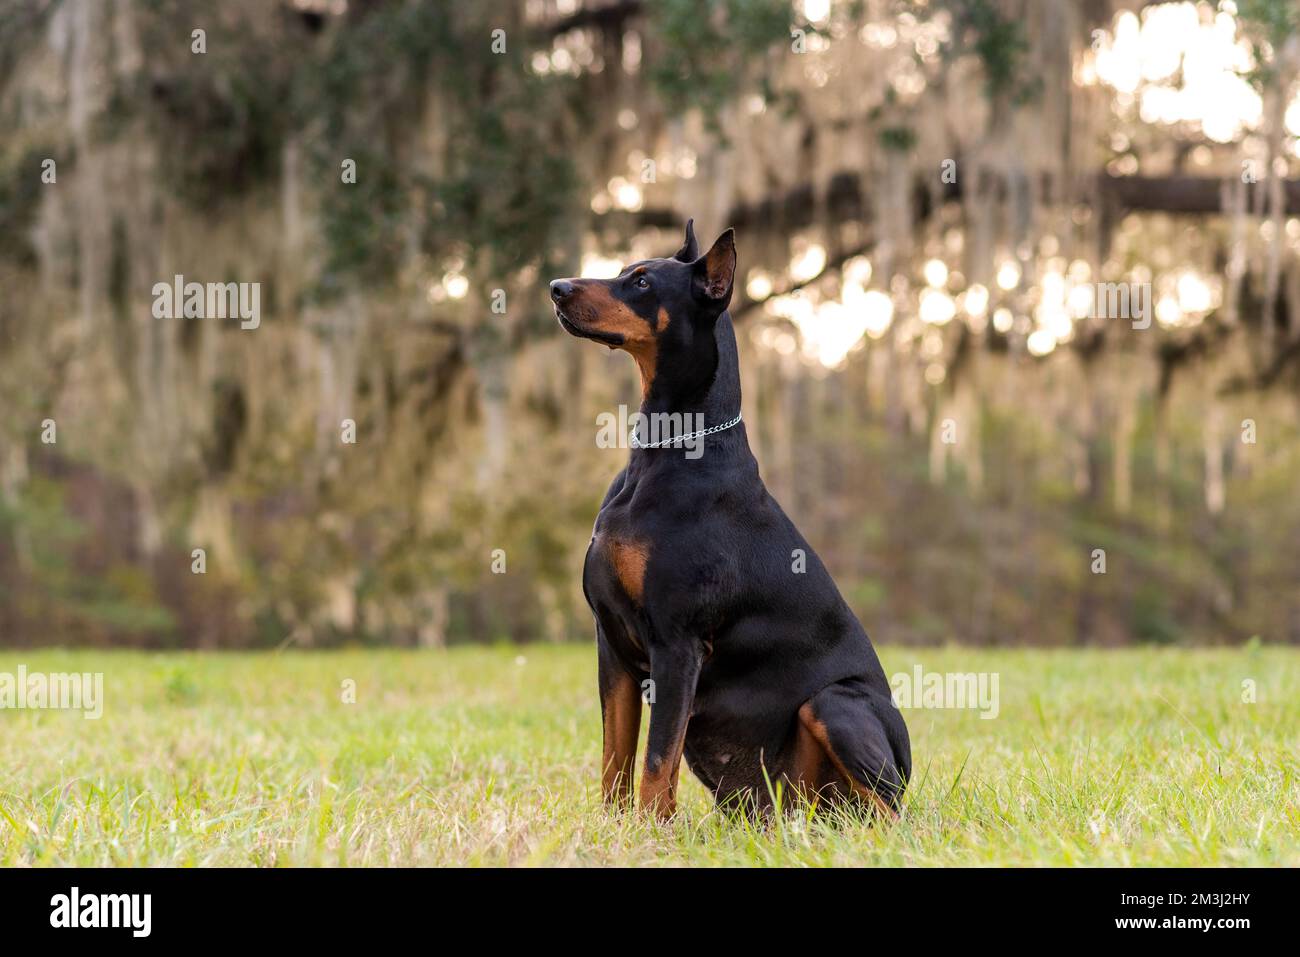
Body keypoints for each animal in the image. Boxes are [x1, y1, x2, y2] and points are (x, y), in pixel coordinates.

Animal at [553, 221, 909, 816]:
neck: (665, 451)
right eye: (624, 270)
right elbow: (615, 758)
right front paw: (612, 826)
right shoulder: (613, 643)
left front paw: (651, 828)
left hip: (835, 704)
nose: (556, 287)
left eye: (643, 282)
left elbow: (657, 761)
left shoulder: (678, 643)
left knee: (896, 812)